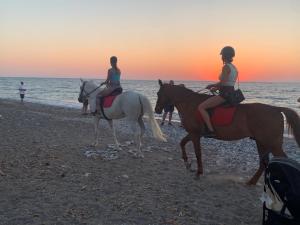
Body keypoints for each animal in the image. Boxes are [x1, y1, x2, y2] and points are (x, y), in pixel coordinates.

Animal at [155, 80, 300, 185]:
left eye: (158, 93)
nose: (156, 110)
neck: (190, 103)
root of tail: (276, 109)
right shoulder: (193, 133)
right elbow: (182, 143)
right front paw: (186, 163)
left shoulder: (195, 135)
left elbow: (197, 152)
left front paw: (198, 172)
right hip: (261, 142)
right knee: (263, 163)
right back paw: (251, 182)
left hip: (272, 144)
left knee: (281, 161)